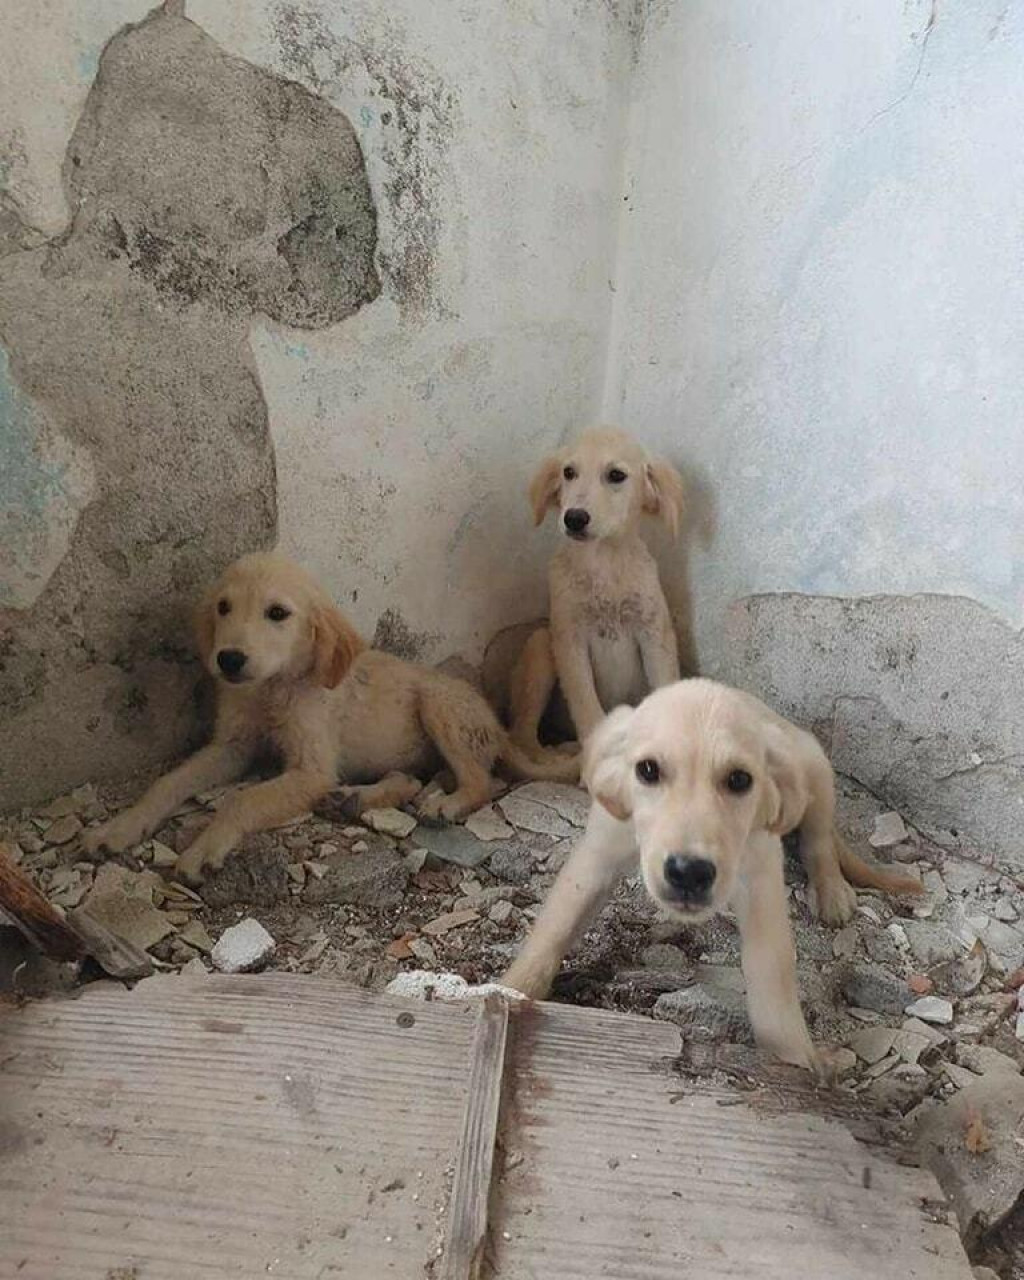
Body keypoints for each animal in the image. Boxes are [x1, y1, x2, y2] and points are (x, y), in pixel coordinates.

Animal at [83, 550, 581, 880]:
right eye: (223, 607)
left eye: (277, 613)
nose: (228, 660)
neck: (276, 687)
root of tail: (499, 729)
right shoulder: (232, 747)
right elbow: (168, 782)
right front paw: (121, 826)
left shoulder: (312, 769)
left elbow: (242, 800)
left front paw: (205, 846)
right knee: (411, 778)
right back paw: (354, 799)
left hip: (439, 704)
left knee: (482, 781)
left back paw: (446, 803)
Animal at [481, 424, 686, 752]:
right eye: (569, 472)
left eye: (616, 475)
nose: (574, 518)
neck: (604, 563)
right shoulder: (570, 641)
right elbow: (587, 708)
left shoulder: (655, 636)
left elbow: (665, 686)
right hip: (541, 644)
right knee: (522, 736)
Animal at [499, 680, 921, 1070]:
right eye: (647, 770)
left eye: (739, 779)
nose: (689, 874)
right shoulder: (598, 854)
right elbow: (555, 928)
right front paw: (508, 990)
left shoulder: (760, 875)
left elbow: (771, 968)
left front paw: (793, 1058)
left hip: (815, 771)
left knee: (818, 840)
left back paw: (832, 891)